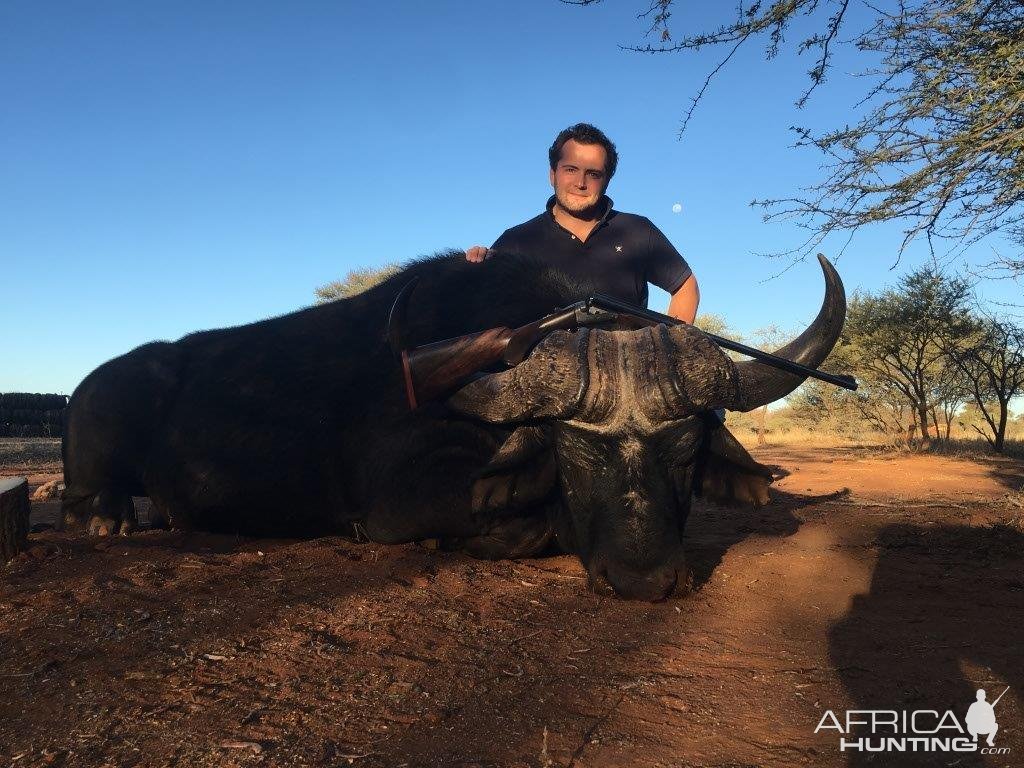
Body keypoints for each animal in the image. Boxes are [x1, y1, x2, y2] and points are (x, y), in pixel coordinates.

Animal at [66, 252, 847, 602]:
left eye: (685, 451)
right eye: (574, 451)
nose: (643, 580)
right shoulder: (401, 496)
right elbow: (523, 524)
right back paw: (107, 519)